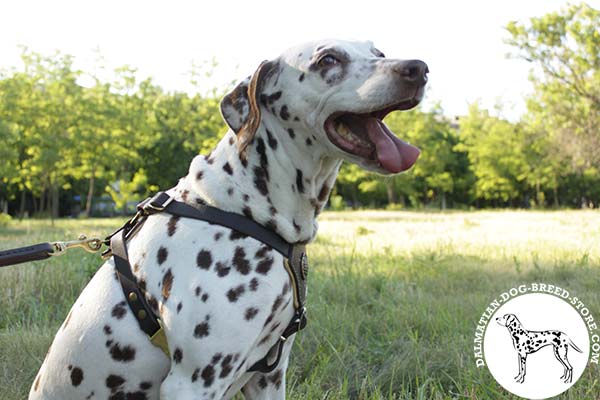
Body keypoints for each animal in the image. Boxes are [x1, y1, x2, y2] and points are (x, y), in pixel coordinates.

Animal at [31, 38, 426, 400]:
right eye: (328, 59)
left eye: (378, 53)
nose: (418, 68)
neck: (239, 206)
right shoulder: (192, 382)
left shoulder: (270, 373)